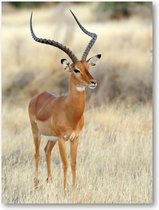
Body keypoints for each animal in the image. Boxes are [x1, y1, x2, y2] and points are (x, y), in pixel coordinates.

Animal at [28, 11, 101, 192]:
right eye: (76, 70)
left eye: (88, 67)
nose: (93, 82)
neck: (71, 112)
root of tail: (37, 97)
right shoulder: (62, 139)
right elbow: (65, 164)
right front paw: (65, 191)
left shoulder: (75, 138)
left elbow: (74, 163)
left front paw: (73, 189)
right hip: (37, 133)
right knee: (37, 154)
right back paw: (36, 185)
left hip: (51, 139)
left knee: (46, 151)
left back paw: (49, 181)